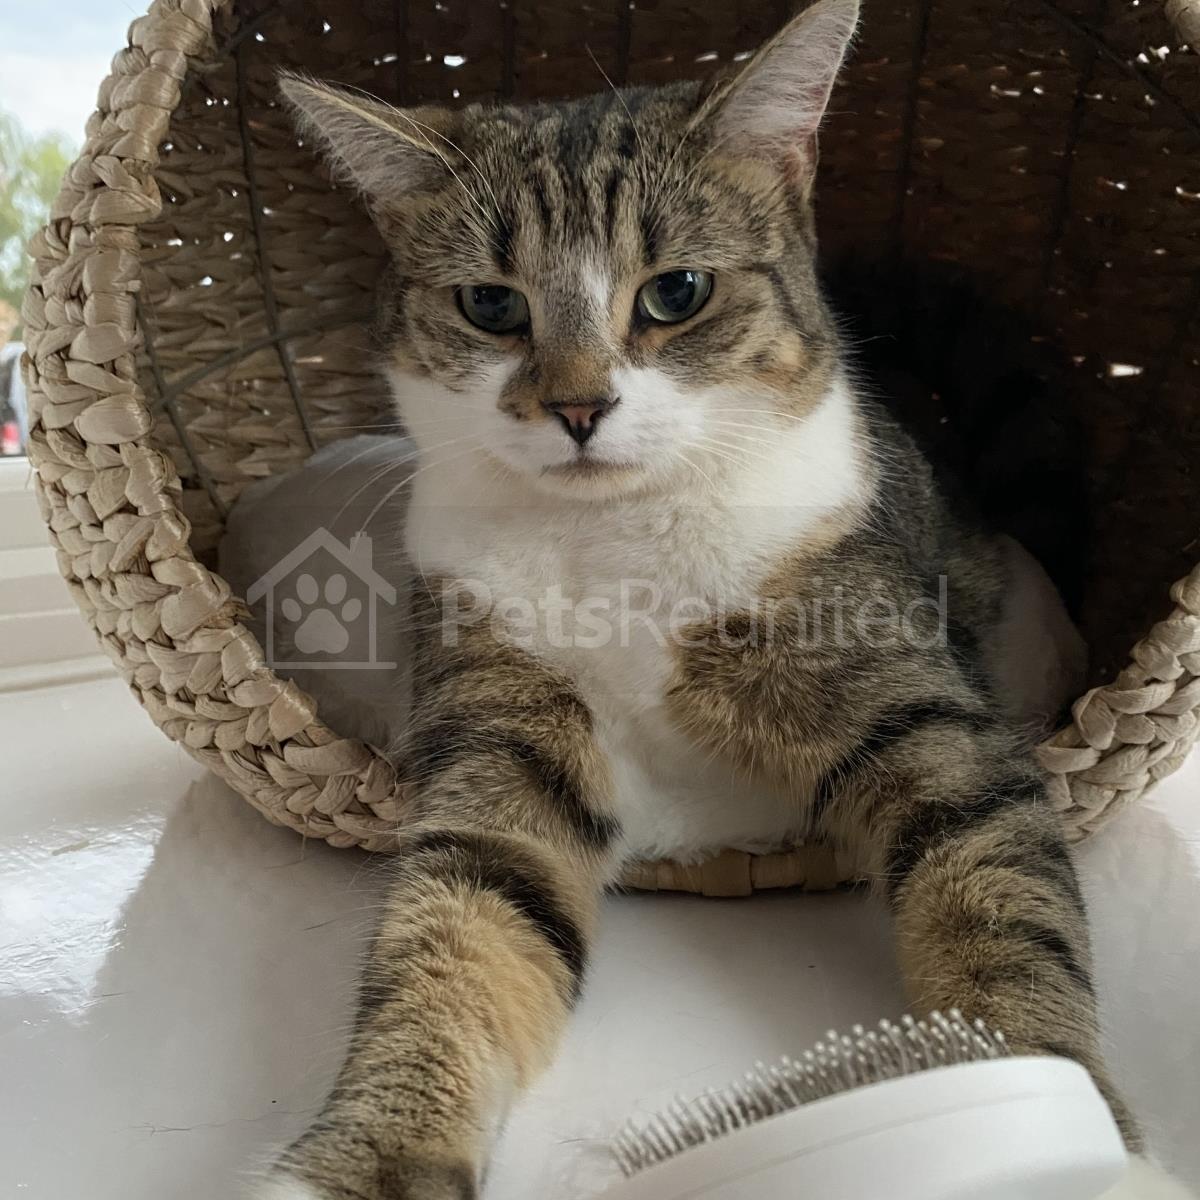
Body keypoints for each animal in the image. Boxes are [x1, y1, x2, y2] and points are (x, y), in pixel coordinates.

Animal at [254, 1, 1193, 1196]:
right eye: (490, 305)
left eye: (676, 292)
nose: (577, 407)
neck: (615, 536)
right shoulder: (497, 726)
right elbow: (455, 932)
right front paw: (370, 1158)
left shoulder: (925, 716)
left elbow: (996, 890)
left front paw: (1061, 1113)